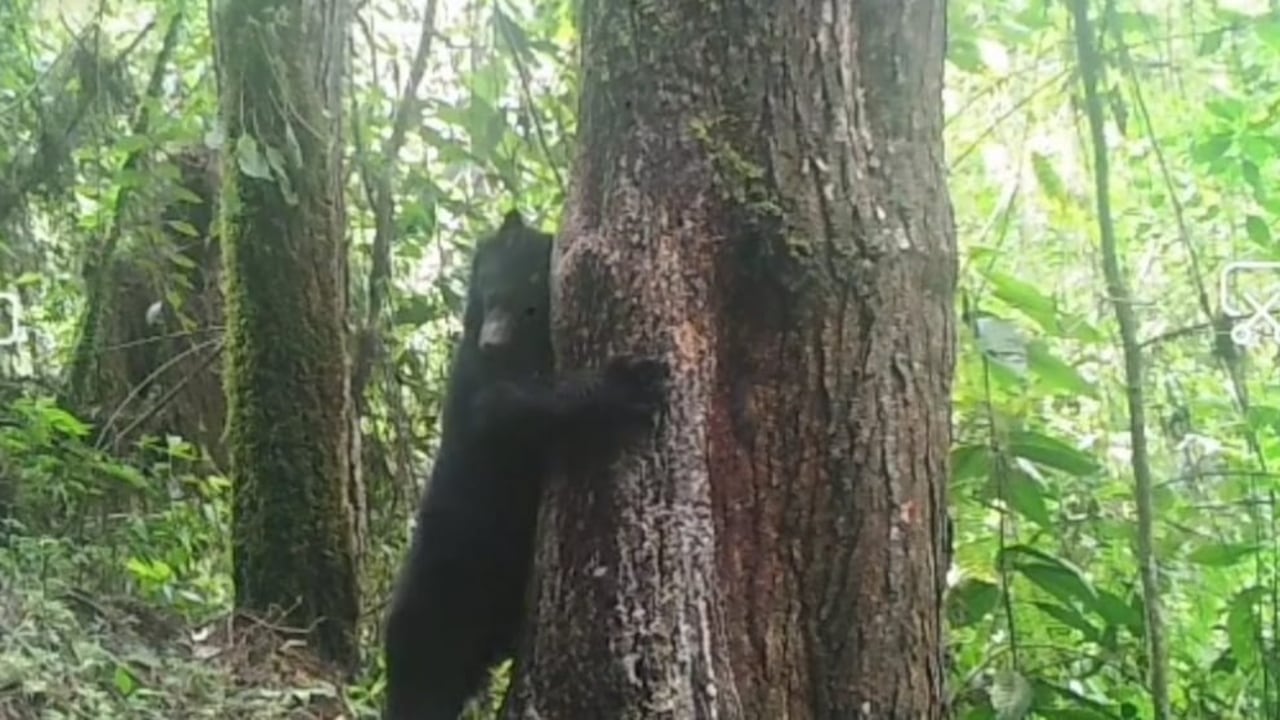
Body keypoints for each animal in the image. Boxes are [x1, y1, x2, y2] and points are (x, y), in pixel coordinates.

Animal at [381, 210, 668, 720]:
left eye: (530, 306)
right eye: (490, 294)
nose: (491, 341)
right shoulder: (474, 387)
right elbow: (502, 409)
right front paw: (624, 385)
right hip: (438, 600)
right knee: (420, 680)